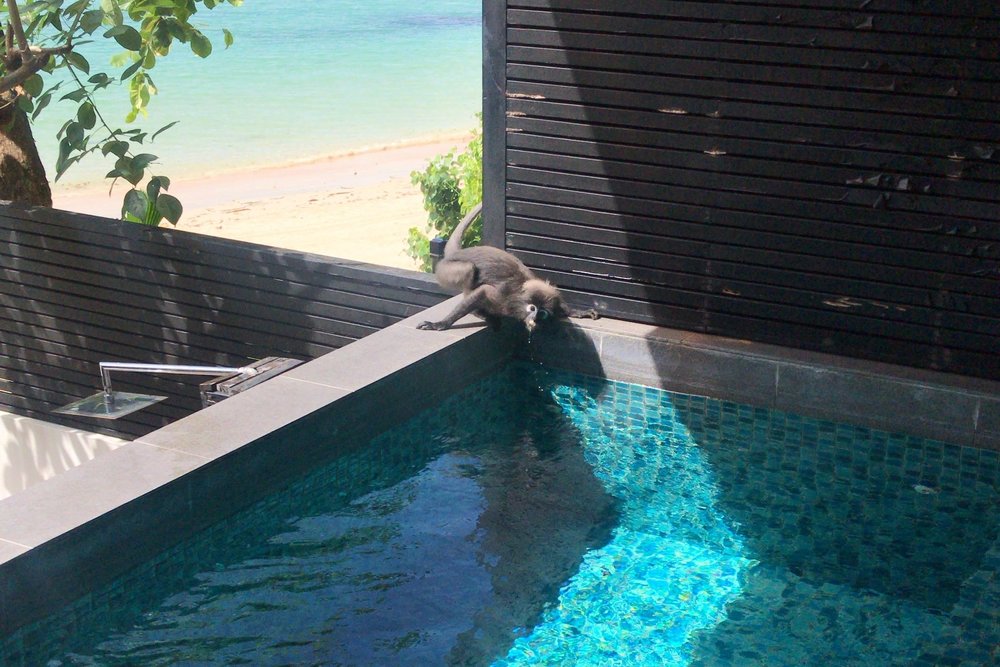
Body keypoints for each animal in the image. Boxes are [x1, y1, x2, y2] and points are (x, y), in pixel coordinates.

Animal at [417, 203, 598, 332]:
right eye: (532, 308)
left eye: (542, 314)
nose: (535, 317)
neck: (517, 298)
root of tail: (458, 252)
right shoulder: (501, 294)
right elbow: (482, 292)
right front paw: (440, 324)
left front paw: (578, 312)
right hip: (446, 269)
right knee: (469, 269)